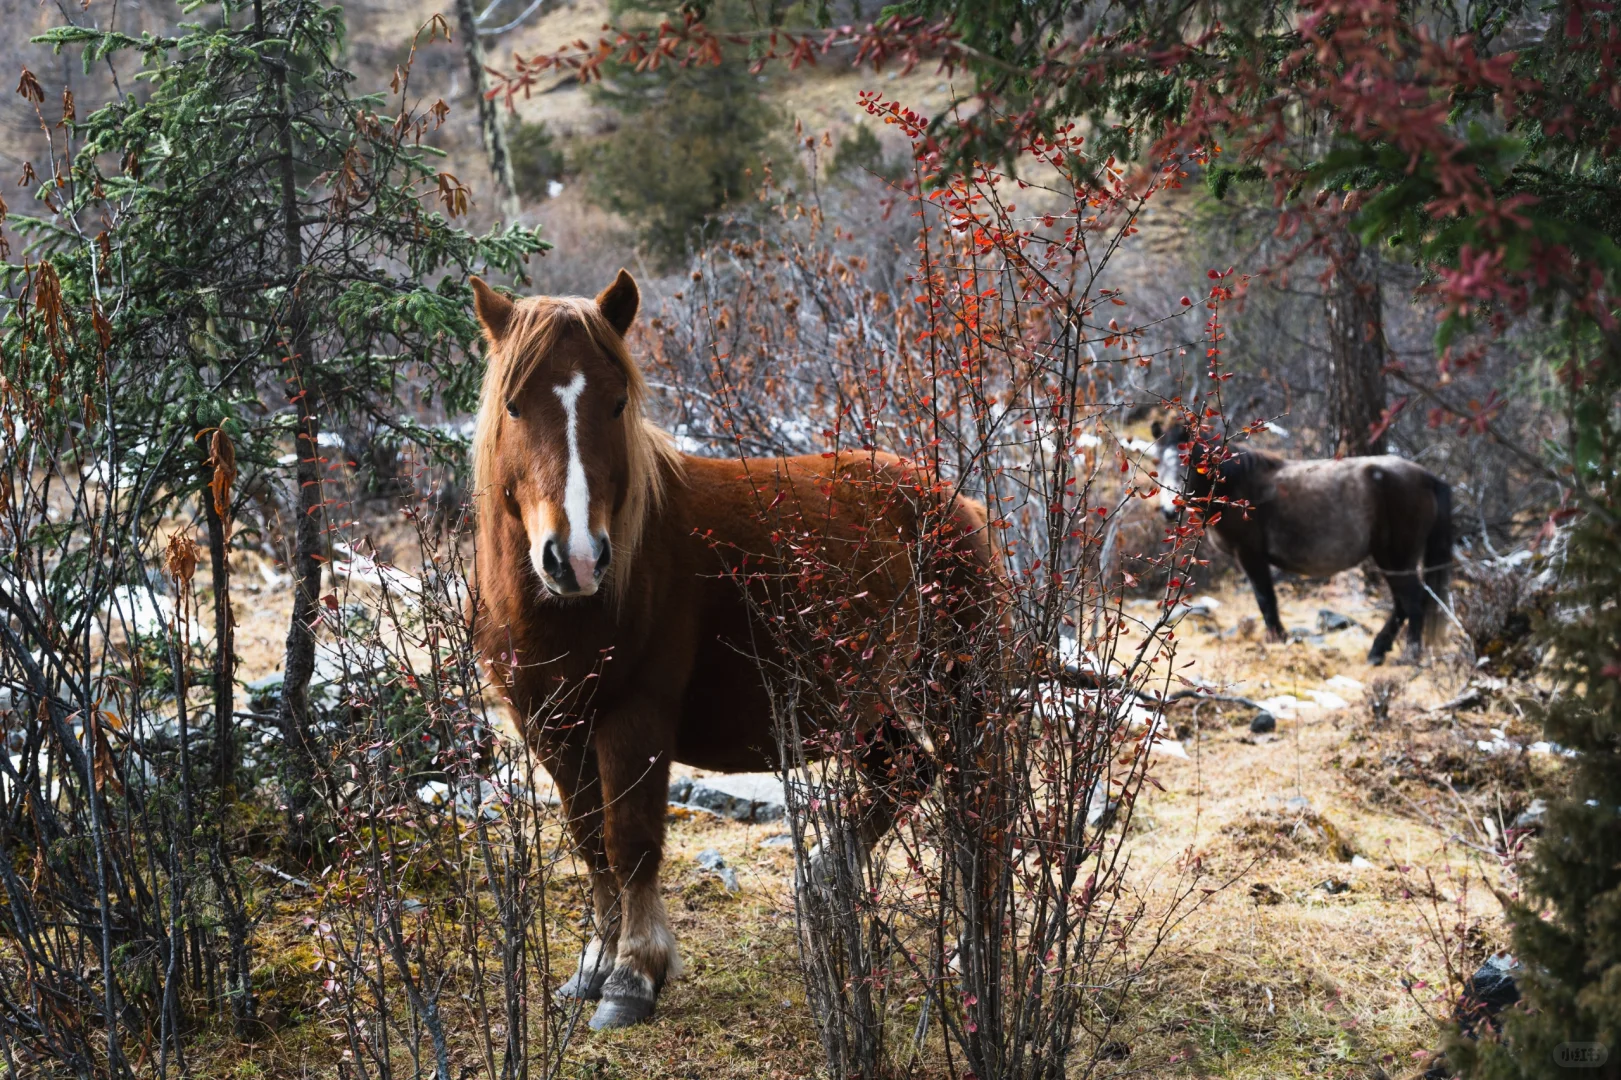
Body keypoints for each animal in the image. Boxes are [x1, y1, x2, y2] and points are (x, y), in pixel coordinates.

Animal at [466, 269, 998, 1024]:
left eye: (616, 402)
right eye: (514, 406)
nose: (577, 559)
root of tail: (952, 498)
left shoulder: (635, 717)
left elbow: (630, 841)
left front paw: (633, 976)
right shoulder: (549, 725)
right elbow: (590, 840)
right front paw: (594, 965)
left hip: (954, 689)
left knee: (972, 803)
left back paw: (969, 950)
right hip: (864, 704)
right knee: (907, 773)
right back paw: (824, 884)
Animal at [1154, 418, 1458, 655]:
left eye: (1191, 461)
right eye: (1158, 462)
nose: (1169, 510)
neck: (1237, 485)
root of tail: (1428, 477)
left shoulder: (1250, 555)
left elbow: (1266, 599)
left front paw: (1278, 639)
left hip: (1396, 556)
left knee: (1413, 600)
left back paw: (1409, 656)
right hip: (1391, 559)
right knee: (1402, 603)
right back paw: (1378, 651)